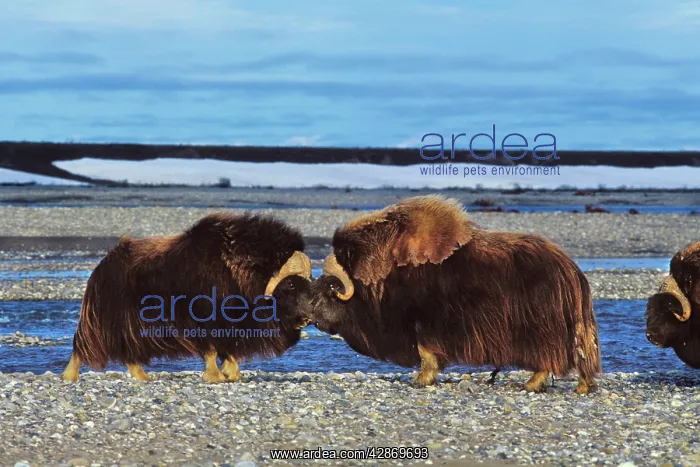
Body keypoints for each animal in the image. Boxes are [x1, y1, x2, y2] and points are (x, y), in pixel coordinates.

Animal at [61, 212, 313, 383]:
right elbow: (212, 350)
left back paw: (143, 377)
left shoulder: (229, 327)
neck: (239, 270)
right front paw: (216, 376)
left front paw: (232, 373)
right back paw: (69, 376)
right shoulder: (205, 323)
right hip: (106, 323)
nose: (307, 318)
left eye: (309, 280)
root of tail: (102, 265)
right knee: (82, 346)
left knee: (130, 355)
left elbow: (227, 351)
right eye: (290, 283)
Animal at [310, 195, 601, 394]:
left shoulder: (423, 324)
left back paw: (532, 384)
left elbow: (426, 353)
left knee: (549, 357)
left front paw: (421, 379)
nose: (314, 318)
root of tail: (571, 270)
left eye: (331, 287)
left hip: (543, 330)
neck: (382, 274)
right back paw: (578, 386)